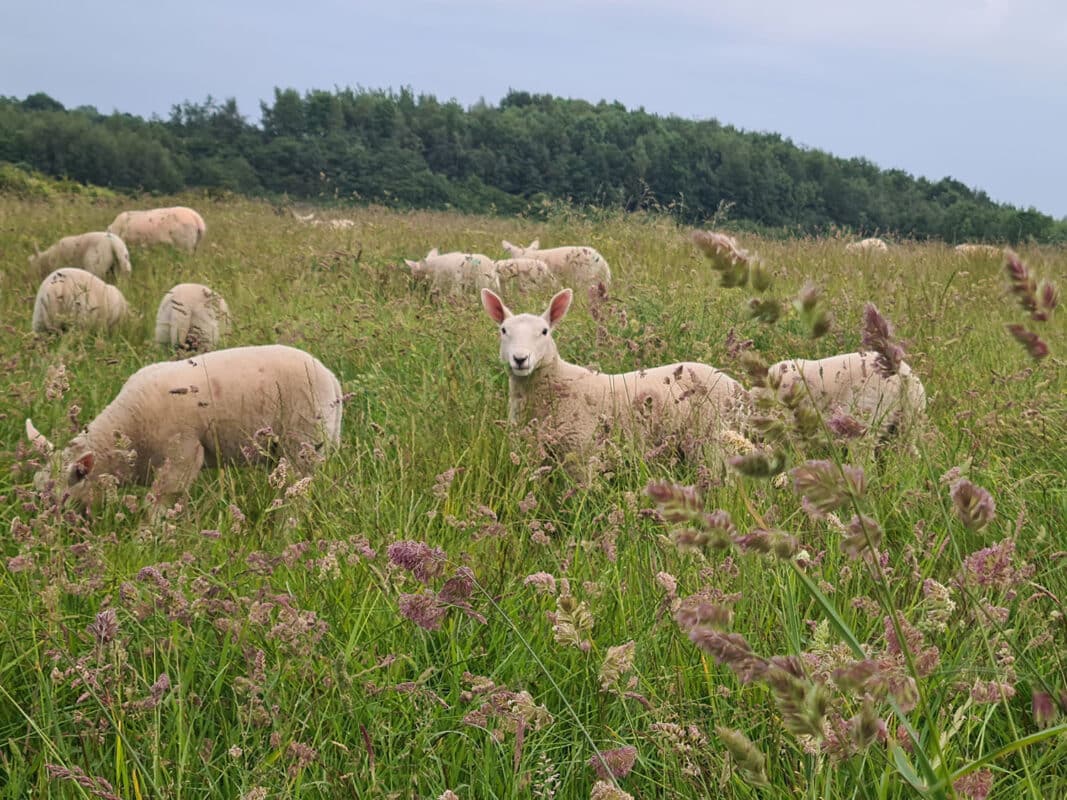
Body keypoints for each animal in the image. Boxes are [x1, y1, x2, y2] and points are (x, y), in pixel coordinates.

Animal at [25, 344, 343, 508]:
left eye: (59, 499)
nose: (47, 538)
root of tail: (332, 380)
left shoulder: (182, 453)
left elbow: (160, 500)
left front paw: (149, 540)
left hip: (301, 444)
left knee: (298, 494)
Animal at [481, 287, 749, 473]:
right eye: (503, 330)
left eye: (544, 332)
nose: (520, 359)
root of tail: (738, 387)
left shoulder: (583, 452)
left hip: (715, 439)